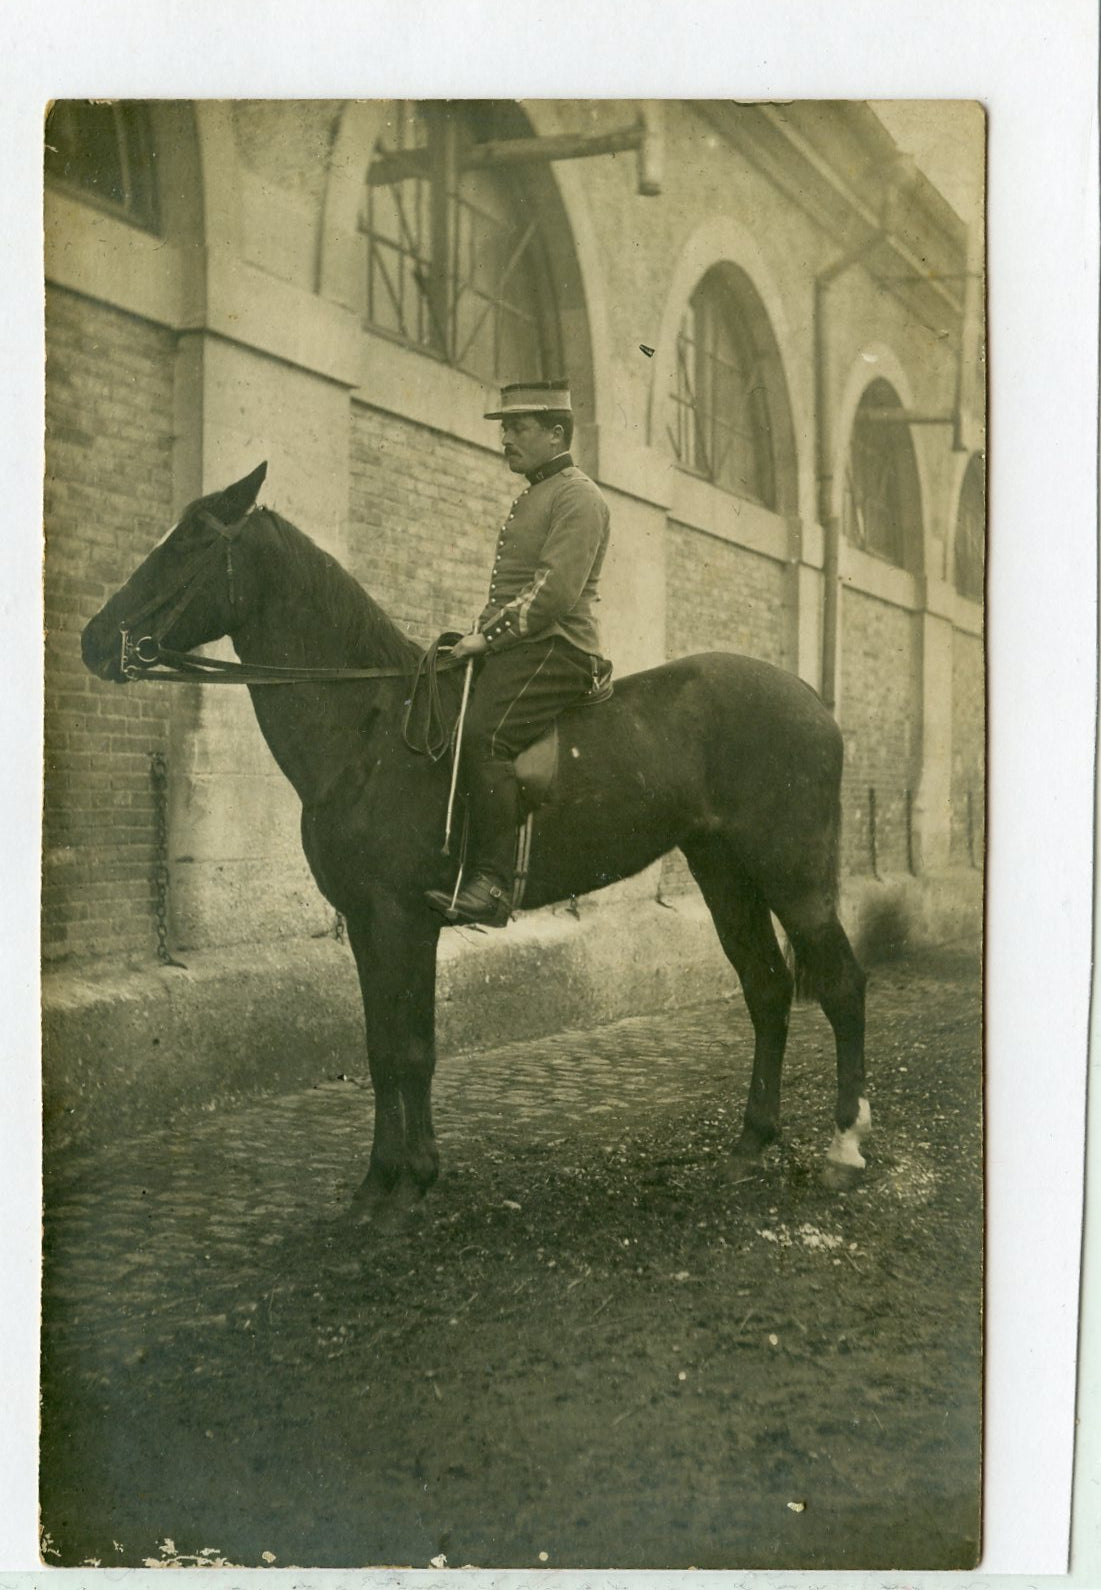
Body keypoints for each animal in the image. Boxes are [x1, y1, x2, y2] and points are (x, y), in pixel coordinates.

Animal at [81, 464, 871, 1221]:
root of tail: (811, 700)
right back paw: (750, 1143)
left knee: (840, 983)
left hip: (793, 877)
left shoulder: (404, 918)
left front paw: (411, 1185)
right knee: (766, 988)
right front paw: (378, 1183)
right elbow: (380, 1046)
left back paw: (845, 1148)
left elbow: (412, 1048)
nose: (94, 640)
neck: (370, 728)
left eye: (190, 541)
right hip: (724, 874)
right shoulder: (365, 923)